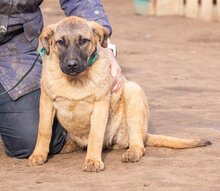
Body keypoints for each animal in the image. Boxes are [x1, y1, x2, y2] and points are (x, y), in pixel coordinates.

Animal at [27, 16, 211, 172]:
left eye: (83, 41)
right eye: (60, 42)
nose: (72, 65)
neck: (75, 80)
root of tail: (144, 134)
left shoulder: (100, 104)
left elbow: (95, 135)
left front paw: (93, 161)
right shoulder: (46, 101)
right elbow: (43, 131)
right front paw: (38, 155)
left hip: (133, 92)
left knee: (138, 144)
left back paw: (132, 152)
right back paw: (69, 145)